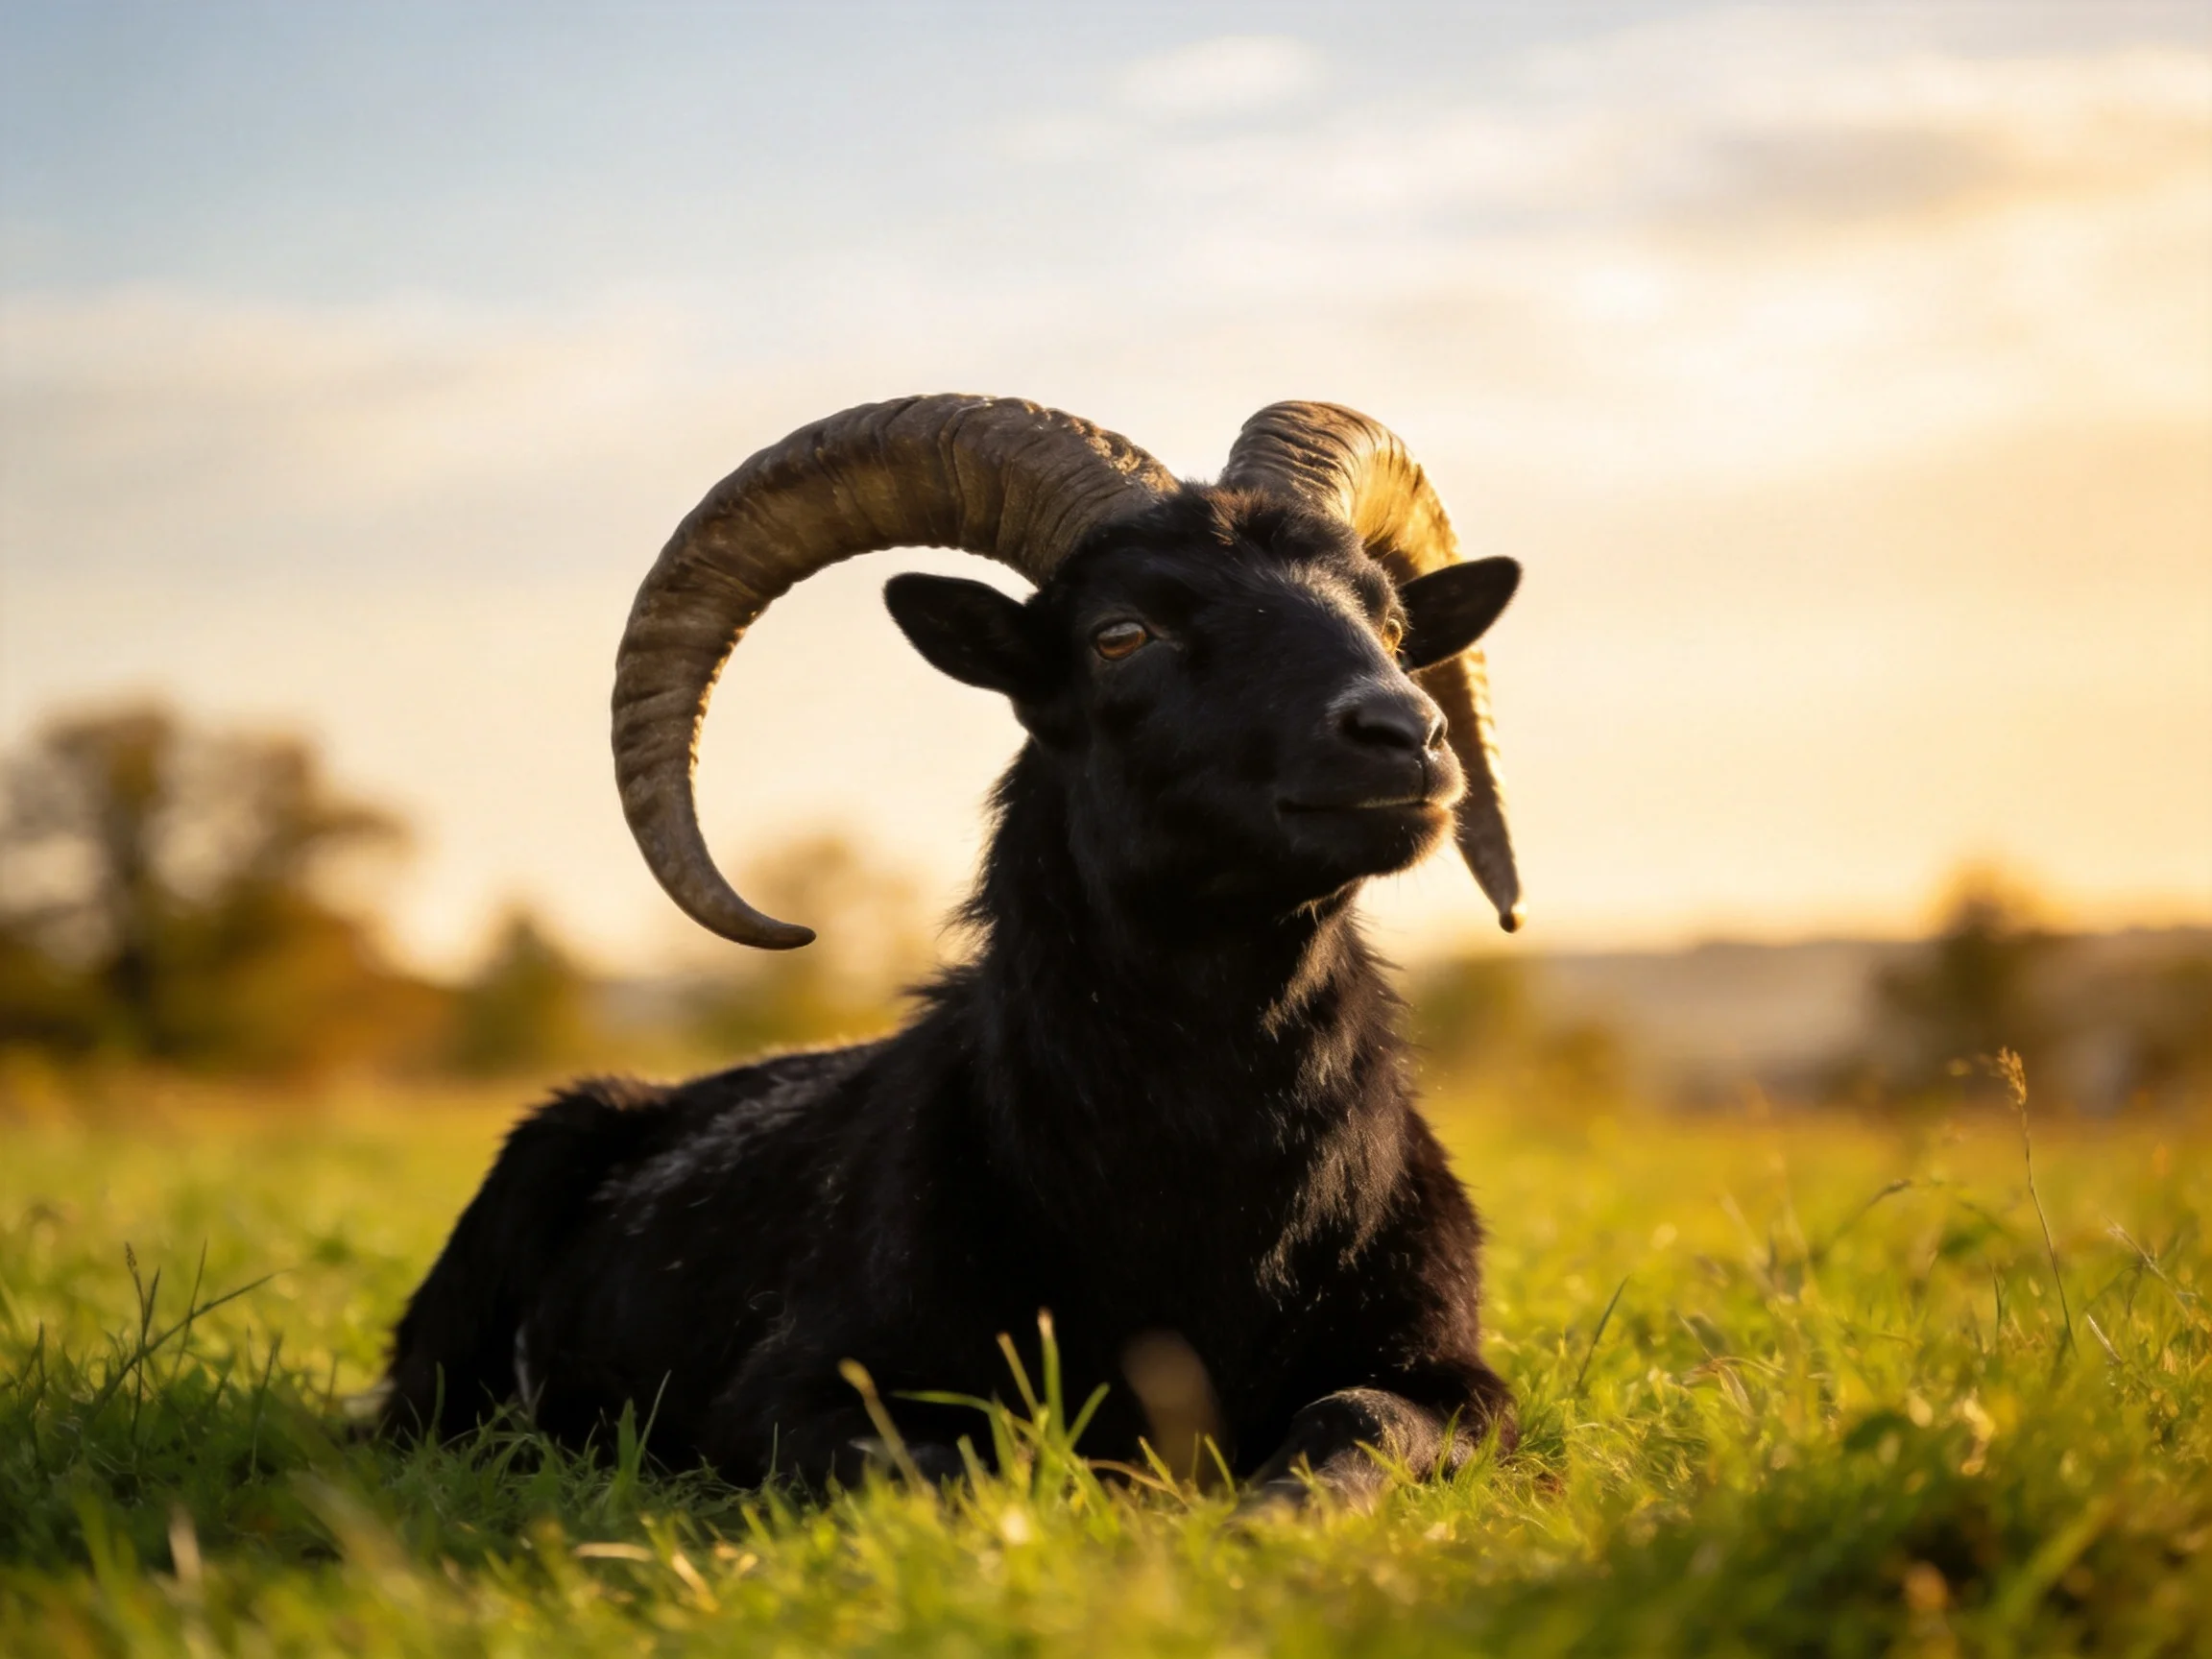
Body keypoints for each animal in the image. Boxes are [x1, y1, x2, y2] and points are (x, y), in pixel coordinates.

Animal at [381, 395, 1527, 1501]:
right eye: (1122, 633)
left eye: (1390, 620)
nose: (1405, 733)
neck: (1206, 1205)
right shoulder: (792, 1396)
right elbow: (956, 1467)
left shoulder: (1446, 1376)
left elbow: (1357, 1426)